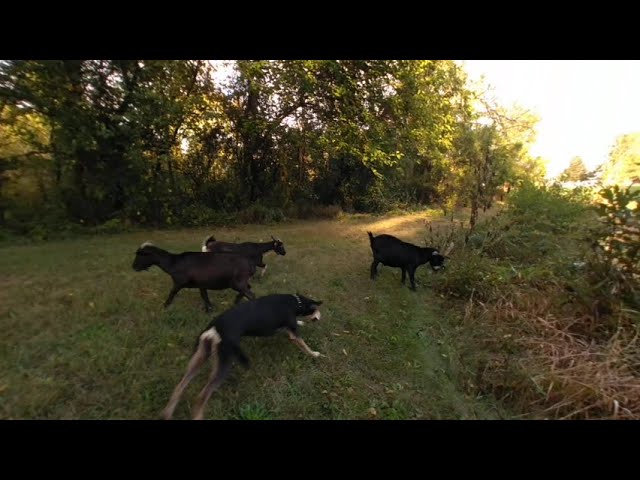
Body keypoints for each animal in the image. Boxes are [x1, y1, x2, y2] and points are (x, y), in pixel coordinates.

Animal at [164, 290, 324, 418]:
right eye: (316, 310)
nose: (319, 316)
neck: (295, 302)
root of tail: (215, 328)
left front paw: (301, 323)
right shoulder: (294, 334)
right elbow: (304, 345)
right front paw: (315, 354)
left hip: (199, 357)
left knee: (180, 386)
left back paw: (168, 412)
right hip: (224, 361)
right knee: (202, 396)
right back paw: (197, 415)